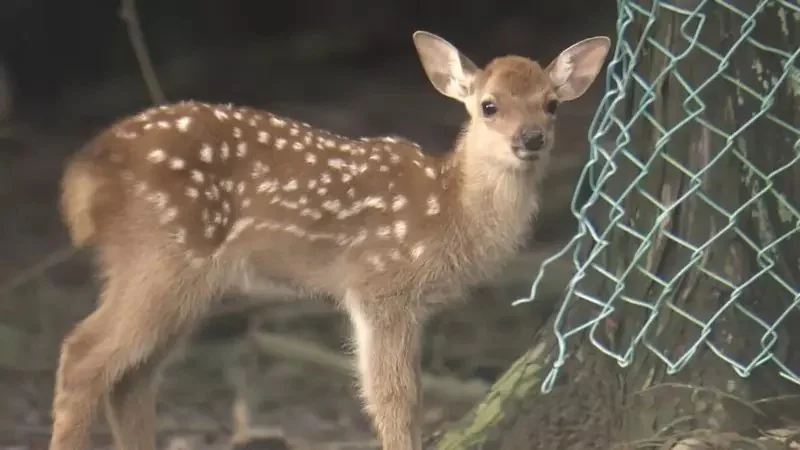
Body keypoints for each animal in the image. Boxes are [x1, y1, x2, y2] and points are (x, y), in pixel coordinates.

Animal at [50, 30, 610, 450]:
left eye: (552, 104)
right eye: (489, 106)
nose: (531, 139)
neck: (449, 211)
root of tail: (84, 172)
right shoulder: (379, 285)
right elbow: (394, 397)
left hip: (181, 278)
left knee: (131, 379)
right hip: (164, 253)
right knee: (84, 353)